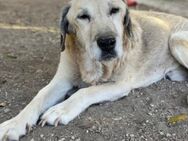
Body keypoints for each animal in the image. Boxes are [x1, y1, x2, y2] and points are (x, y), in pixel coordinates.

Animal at [0, 0, 188, 140]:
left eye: (114, 10)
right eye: (83, 16)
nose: (107, 43)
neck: (93, 65)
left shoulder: (120, 85)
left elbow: (86, 92)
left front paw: (61, 109)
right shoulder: (61, 81)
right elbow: (38, 97)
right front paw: (14, 124)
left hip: (175, 39)